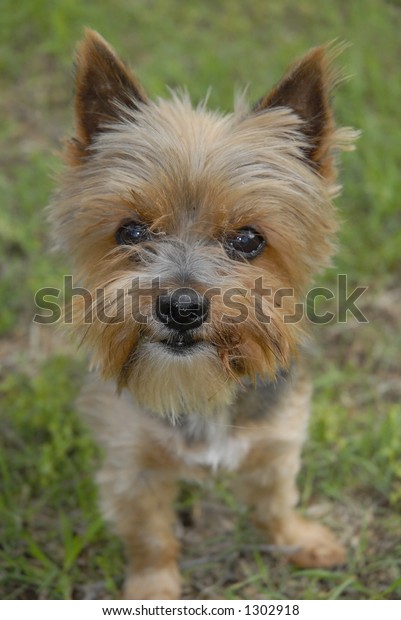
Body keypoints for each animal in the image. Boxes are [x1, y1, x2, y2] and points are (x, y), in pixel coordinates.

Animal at [48, 30, 354, 600]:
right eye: (130, 231)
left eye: (249, 239)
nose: (181, 306)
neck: (199, 388)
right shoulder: (131, 462)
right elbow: (149, 534)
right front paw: (152, 591)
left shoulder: (278, 435)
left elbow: (276, 500)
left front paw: (297, 539)